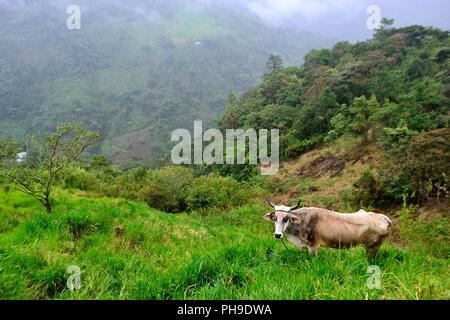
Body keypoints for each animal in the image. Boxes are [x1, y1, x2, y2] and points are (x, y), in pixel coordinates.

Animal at [262, 200, 392, 258]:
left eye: (286, 218)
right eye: (274, 218)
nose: (277, 235)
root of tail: (384, 217)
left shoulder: (313, 246)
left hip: (372, 248)